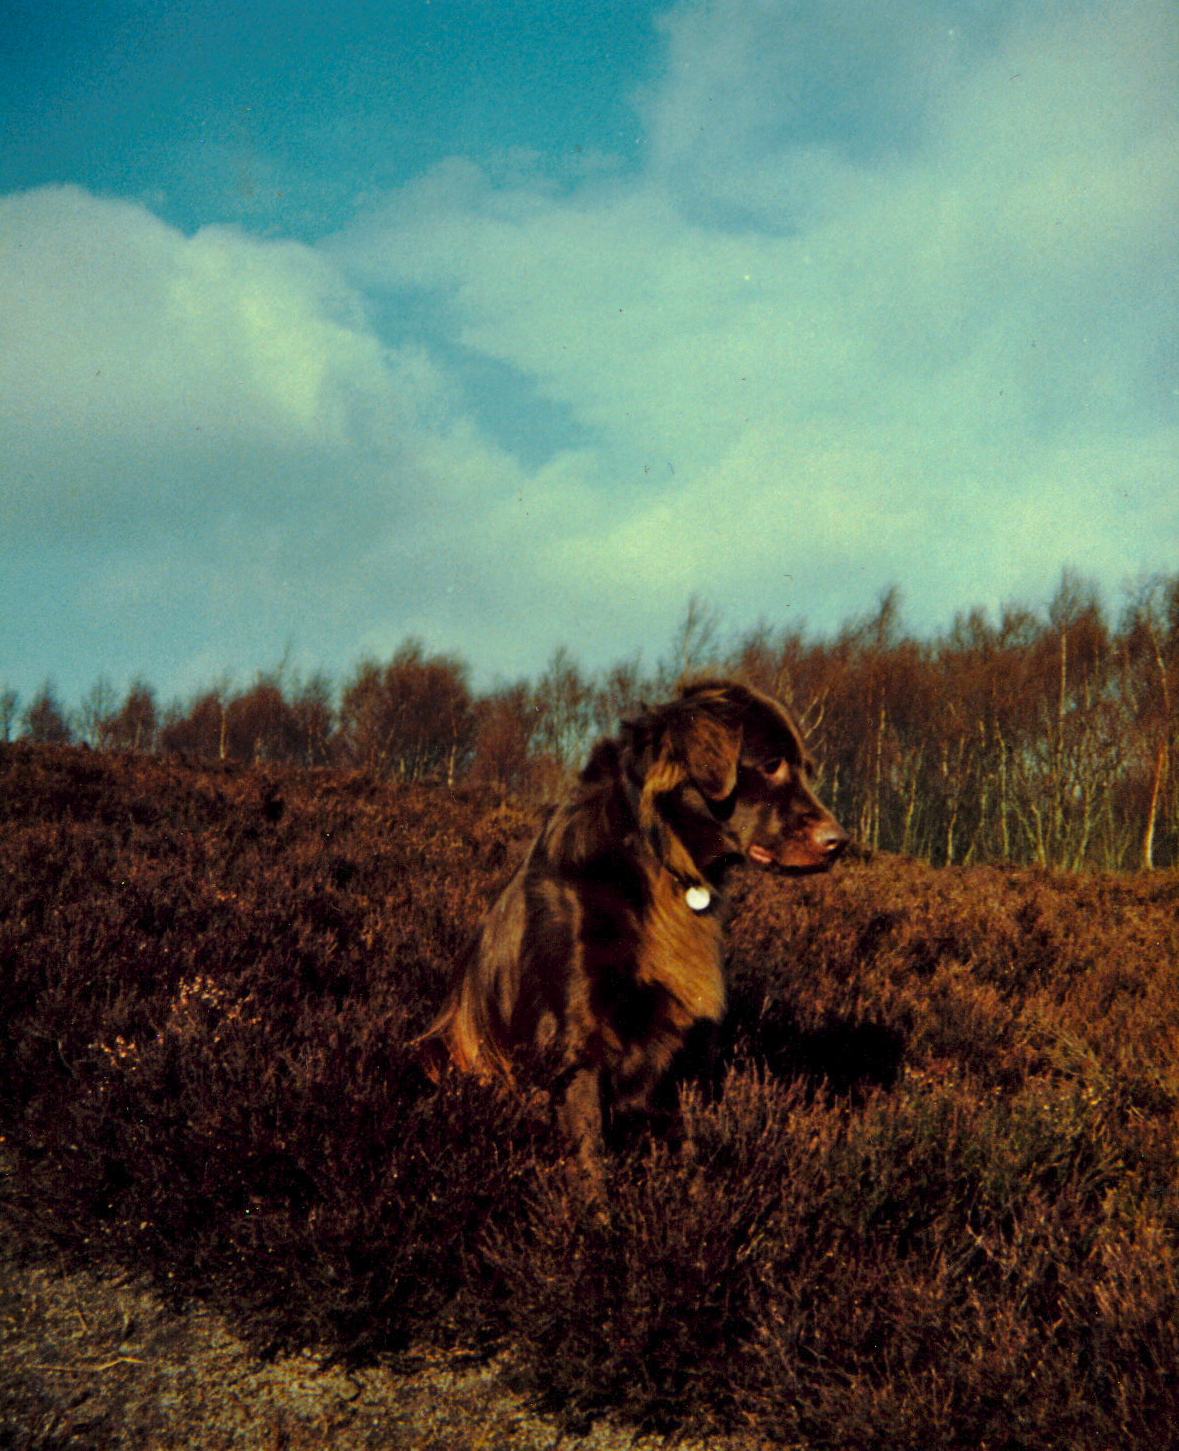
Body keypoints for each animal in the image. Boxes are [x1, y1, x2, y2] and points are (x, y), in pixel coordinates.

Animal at [418, 678, 848, 1195]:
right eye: (770, 764)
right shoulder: (577, 1047)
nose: (839, 842)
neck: (656, 858)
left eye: (804, 768)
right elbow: (589, 1169)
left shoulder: (687, 1052)